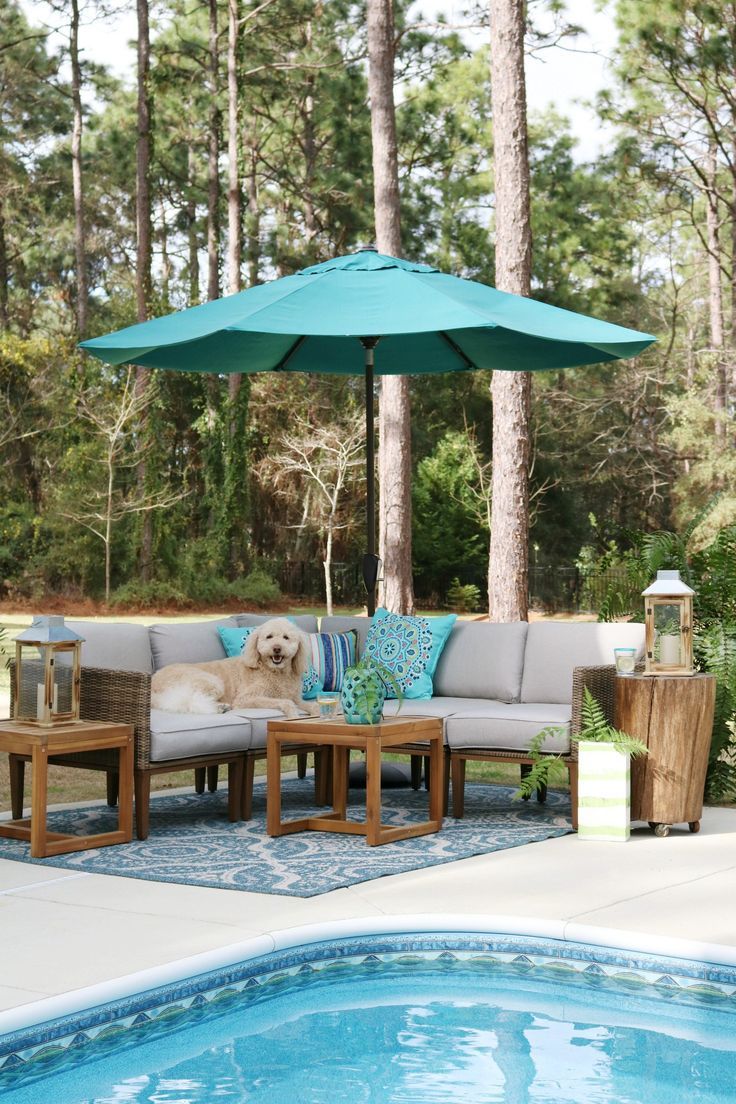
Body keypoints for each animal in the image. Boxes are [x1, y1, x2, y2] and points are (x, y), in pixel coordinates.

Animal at [150, 618, 320, 719]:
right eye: (269, 637)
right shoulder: (245, 698)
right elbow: (286, 702)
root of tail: (154, 680)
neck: (274, 671)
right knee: (192, 702)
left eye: (286, 637)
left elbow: (313, 705)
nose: (277, 648)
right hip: (211, 682)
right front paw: (293, 715)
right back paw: (219, 708)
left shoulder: (297, 698)